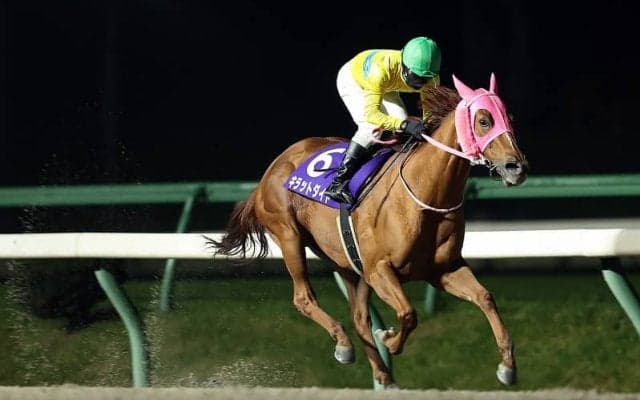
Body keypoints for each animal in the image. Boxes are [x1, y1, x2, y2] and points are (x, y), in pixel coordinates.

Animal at [209, 74, 529, 388]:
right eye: (484, 120)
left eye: (510, 117)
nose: (517, 167)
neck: (425, 194)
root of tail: (271, 170)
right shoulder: (379, 269)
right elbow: (408, 313)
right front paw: (389, 338)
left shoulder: (443, 269)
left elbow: (485, 297)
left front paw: (507, 366)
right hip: (289, 236)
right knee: (303, 298)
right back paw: (343, 345)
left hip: (348, 263)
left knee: (360, 316)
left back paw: (382, 375)